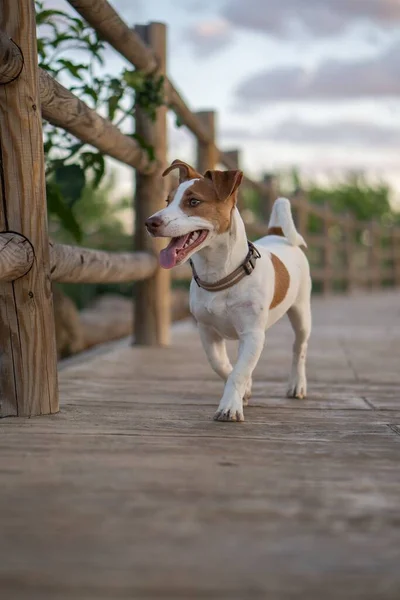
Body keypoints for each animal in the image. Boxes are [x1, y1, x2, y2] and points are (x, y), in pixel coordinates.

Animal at [145, 159, 310, 422]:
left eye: (194, 202)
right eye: (167, 201)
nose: (150, 222)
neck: (221, 276)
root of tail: (277, 235)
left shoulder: (252, 334)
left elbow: (238, 372)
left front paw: (230, 407)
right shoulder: (207, 331)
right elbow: (223, 366)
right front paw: (244, 390)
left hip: (302, 314)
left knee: (299, 349)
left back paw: (297, 385)